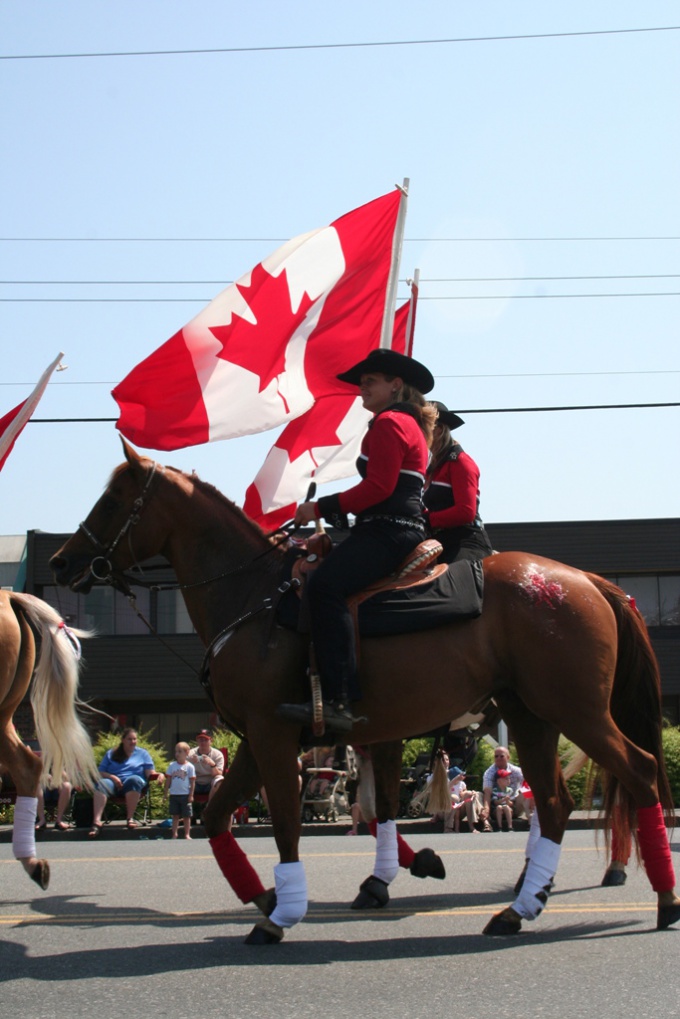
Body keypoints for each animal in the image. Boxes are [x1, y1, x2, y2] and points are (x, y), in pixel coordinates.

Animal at [49, 442, 680, 941]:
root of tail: (589, 581)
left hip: (575, 710)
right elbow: (226, 818)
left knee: (637, 772)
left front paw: (283, 913)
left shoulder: (278, 736)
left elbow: (289, 822)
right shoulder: (275, 738)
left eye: (111, 502)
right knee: (555, 803)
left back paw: (658, 899)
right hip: (532, 716)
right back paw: (523, 904)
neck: (254, 594)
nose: (61, 562)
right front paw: (281, 896)